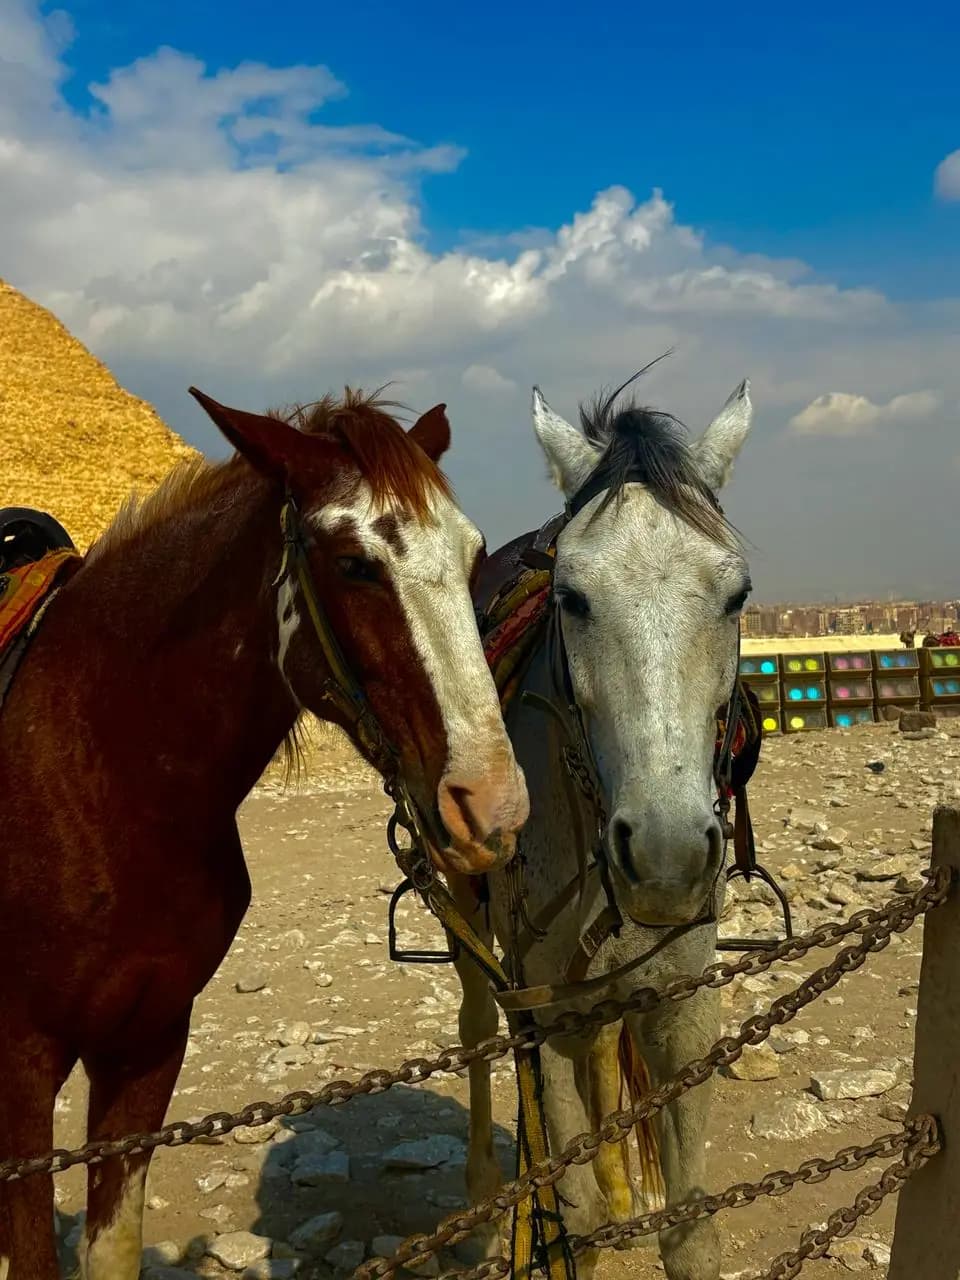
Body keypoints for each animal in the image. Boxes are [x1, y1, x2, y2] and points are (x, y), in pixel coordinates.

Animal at [450, 373, 754, 1280]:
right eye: (572, 598)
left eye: (737, 595)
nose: (664, 855)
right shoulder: (542, 1010)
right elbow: (571, 1219)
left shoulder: (682, 1009)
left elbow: (692, 1230)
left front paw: (638, 1201)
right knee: (475, 1026)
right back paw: (483, 1198)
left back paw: (625, 1187)